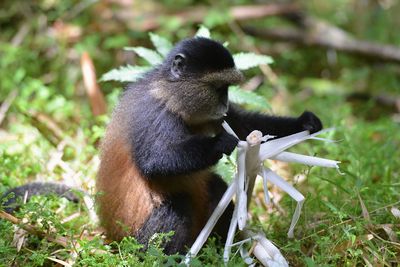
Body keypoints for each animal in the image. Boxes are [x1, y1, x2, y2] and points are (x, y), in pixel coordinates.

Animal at [0, 36, 322, 256]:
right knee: (176, 207)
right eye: (219, 88)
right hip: (135, 238)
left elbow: (241, 123)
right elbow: (155, 162)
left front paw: (306, 122)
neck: (169, 91)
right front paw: (223, 142)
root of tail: (108, 234)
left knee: (215, 186)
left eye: (228, 90)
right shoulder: (155, 113)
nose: (224, 104)